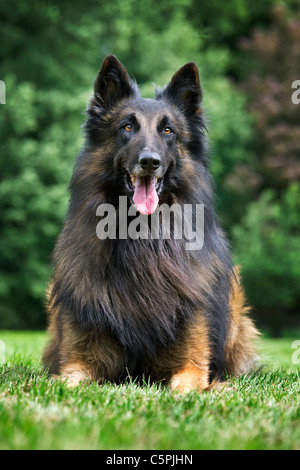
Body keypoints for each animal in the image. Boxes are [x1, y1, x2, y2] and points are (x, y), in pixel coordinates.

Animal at [42, 56, 258, 392]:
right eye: (127, 127)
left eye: (168, 130)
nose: (149, 161)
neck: (141, 241)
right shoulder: (78, 363)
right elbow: (66, 382)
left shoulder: (192, 365)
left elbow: (184, 388)